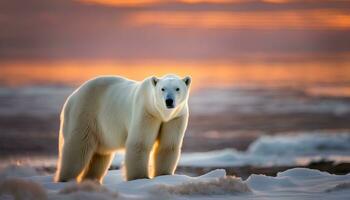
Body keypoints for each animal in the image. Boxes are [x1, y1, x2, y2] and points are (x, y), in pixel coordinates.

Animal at [55, 74, 191, 183]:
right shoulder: (146, 112)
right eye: (162, 89)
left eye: (177, 88)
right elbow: (139, 144)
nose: (169, 101)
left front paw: (163, 175)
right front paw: (139, 178)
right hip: (85, 112)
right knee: (78, 147)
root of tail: (73, 96)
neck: (160, 113)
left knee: (100, 157)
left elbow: (168, 146)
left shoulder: (176, 118)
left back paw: (91, 180)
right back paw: (65, 179)